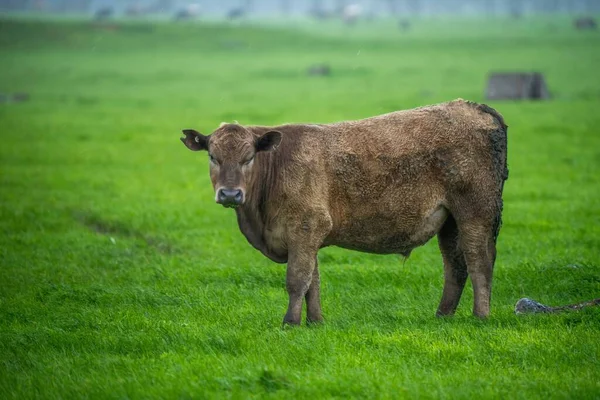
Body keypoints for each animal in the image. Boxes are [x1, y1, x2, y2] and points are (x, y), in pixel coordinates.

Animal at [182, 99, 506, 324]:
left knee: (479, 261)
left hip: (475, 212)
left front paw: (290, 322)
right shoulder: (308, 235)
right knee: (455, 265)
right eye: (213, 157)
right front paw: (315, 322)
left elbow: (297, 279)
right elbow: (313, 282)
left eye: (248, 158)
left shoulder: (306, 228)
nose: (230, 193)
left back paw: (480, 316)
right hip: (449, 221)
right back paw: (442, 315)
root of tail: (474, 107)